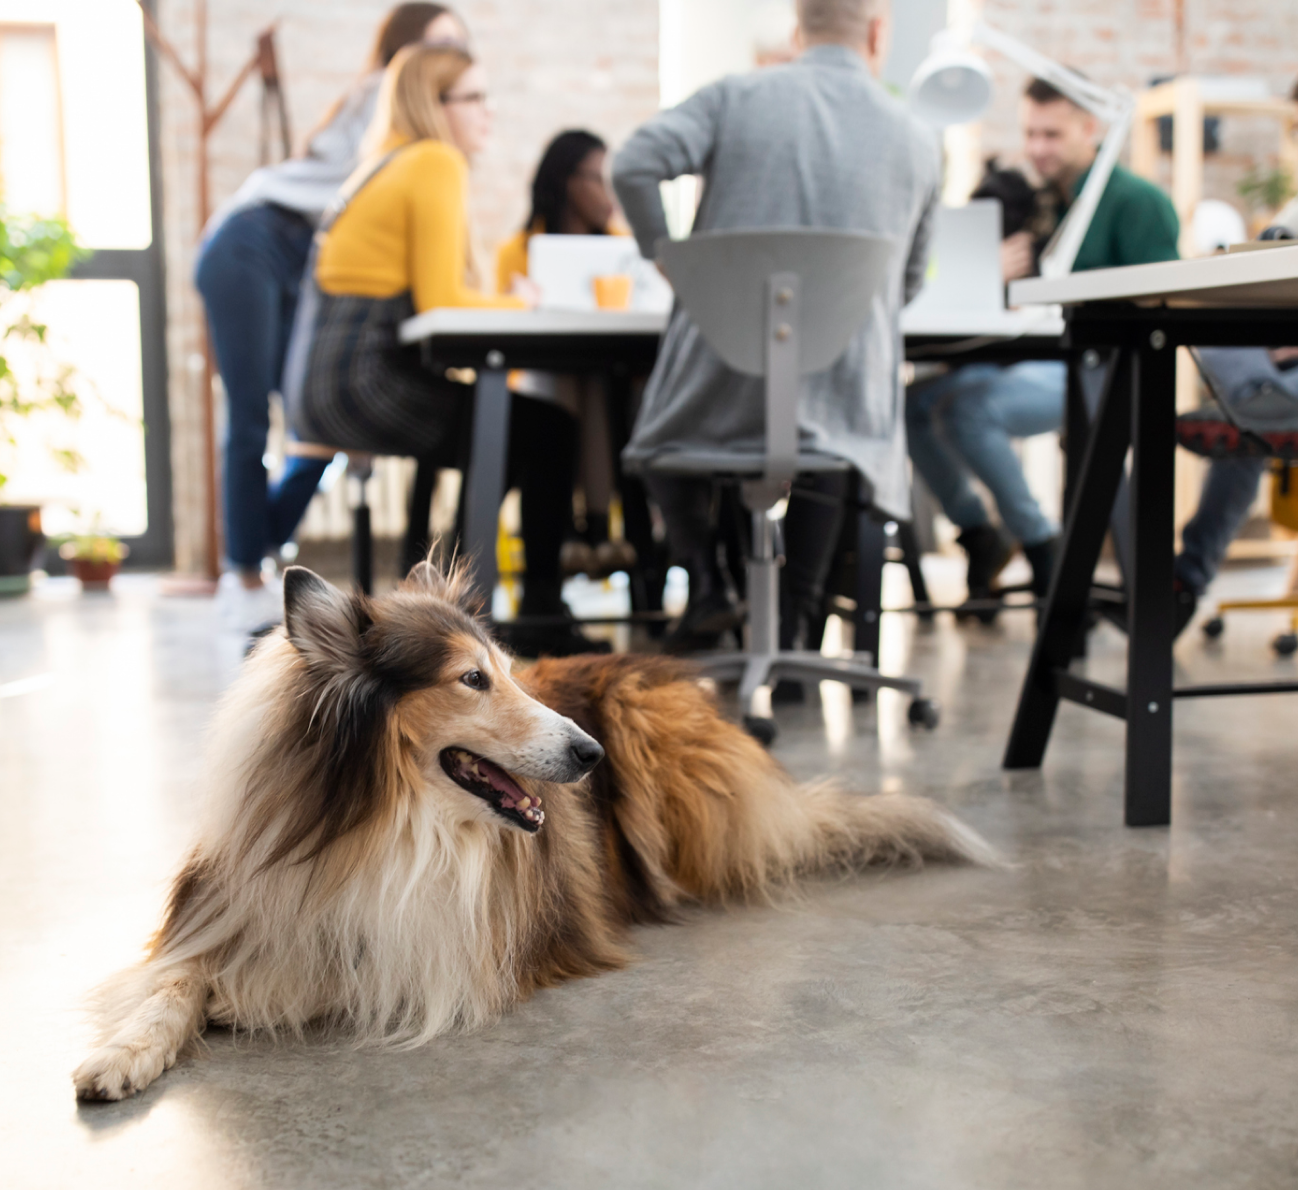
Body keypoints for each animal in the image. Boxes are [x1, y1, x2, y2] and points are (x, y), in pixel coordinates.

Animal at [73, 560, 991, 1100]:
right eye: (472, 680)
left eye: (509, 672)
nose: (588, 756)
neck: (382, 827)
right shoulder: (227, 906)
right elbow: (172, 984)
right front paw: (124, 1053)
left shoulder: (447, 944)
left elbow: (331, 967)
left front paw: (251, 995)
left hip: (648, 732)